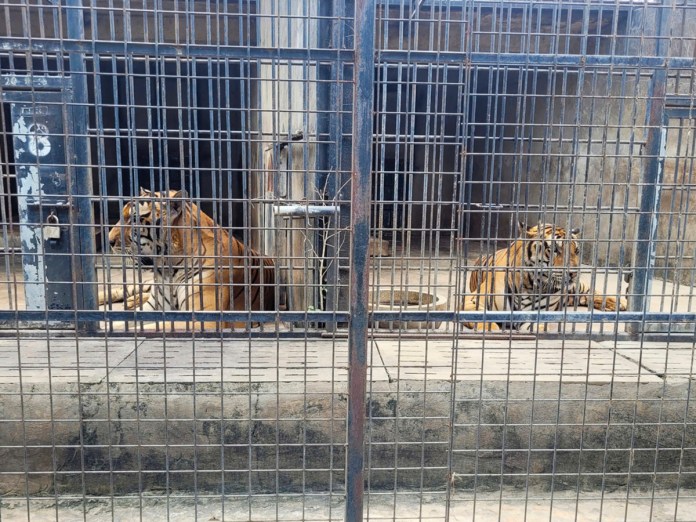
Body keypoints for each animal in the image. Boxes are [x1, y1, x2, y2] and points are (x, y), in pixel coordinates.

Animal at [98, 188, 278, 330]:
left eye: (134, 219)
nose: (109, 240)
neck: (168, 269)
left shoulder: (204, 317)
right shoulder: (153, 308)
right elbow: (121, 323)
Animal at [460, 220, 628, 330]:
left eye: (576, 251)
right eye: (555, 250)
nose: (574, 273)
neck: (530, 285)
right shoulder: (472, 303)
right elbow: (487, 323)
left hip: (578, 287)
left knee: (591, 292)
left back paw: (620, 303)